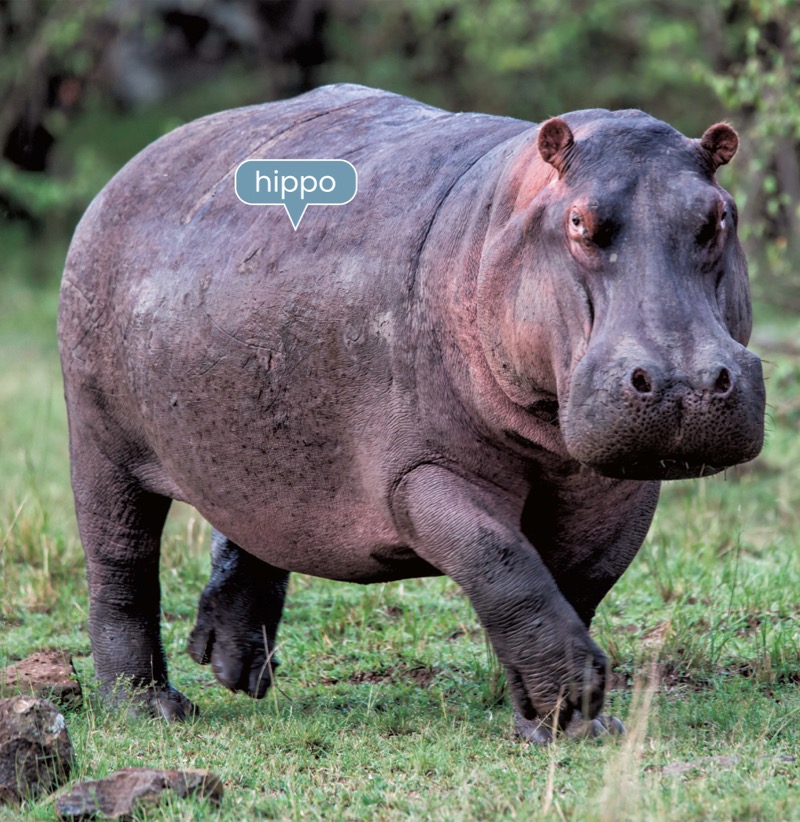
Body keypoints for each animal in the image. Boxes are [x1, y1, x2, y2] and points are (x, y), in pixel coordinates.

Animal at [58, 83, 765, 742]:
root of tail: (129, 169)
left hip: (257, 437)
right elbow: (504, 565)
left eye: (718, 217)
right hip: (100, 438)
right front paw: (575, 702)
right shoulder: (420, 473)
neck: (501, 220)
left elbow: (574, 584)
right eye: (579, 222)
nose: (683, 383)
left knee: (253, 520)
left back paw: (235, 669)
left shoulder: (616, 486)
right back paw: (150, 709)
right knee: (121, 565)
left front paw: (561, 720)